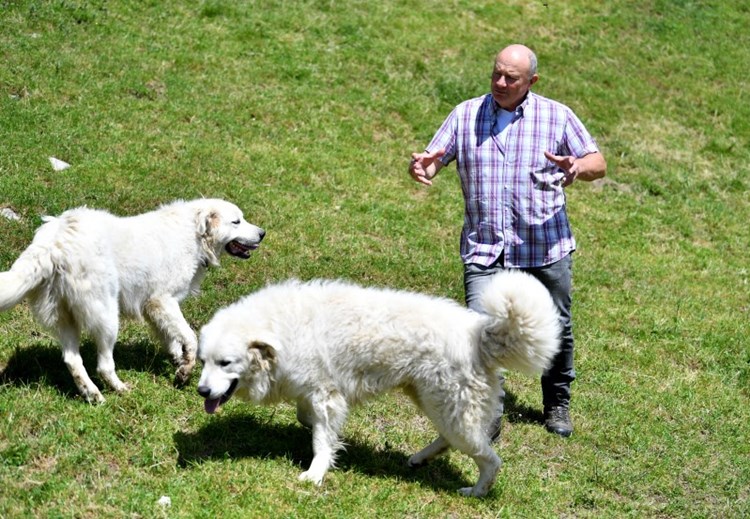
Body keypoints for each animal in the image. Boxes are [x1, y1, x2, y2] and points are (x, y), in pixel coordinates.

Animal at [0, 197, 268, 404]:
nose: (263, 233)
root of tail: (54, 242)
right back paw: (119, 389)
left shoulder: (152, 308)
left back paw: (92, 394)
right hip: (107, 317)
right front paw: (185, 370)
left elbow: (171, 338)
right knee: (104, 365)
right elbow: (190, 338)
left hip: (66, 318)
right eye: (237, 221)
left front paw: (177, 361)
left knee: (72, 360)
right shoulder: (163, 301)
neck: (194, 233)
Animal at [197, 270, 560, 498]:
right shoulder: (316, 390)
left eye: (225, 363)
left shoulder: (326, 395)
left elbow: (321, 441)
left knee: (490, 459)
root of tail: (479, 334)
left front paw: (315, 474)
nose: (201, 391)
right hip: (435, 403)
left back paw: (476, 492)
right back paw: (421, 459)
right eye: (203, 361)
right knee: (452, 440)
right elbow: (310, 421)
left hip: (450, 410)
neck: (281, 328)